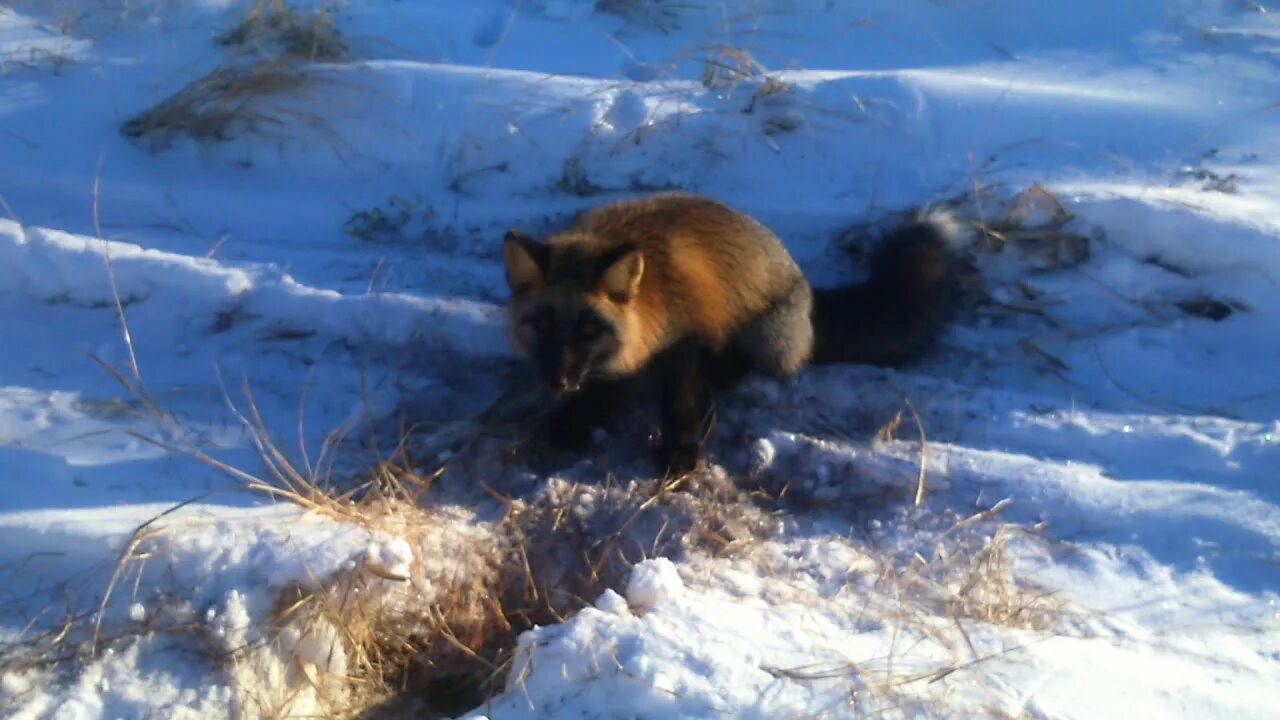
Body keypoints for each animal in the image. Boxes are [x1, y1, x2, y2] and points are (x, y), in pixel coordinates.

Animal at [499, 189, 962, 476]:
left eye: (589, 328)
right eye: (542, 324)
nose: (559, 381)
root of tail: (809, 293)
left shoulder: (691, 339)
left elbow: (682, 400)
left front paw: (681, 450)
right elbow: (601, 387)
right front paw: (576, 417)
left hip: (766, 337)